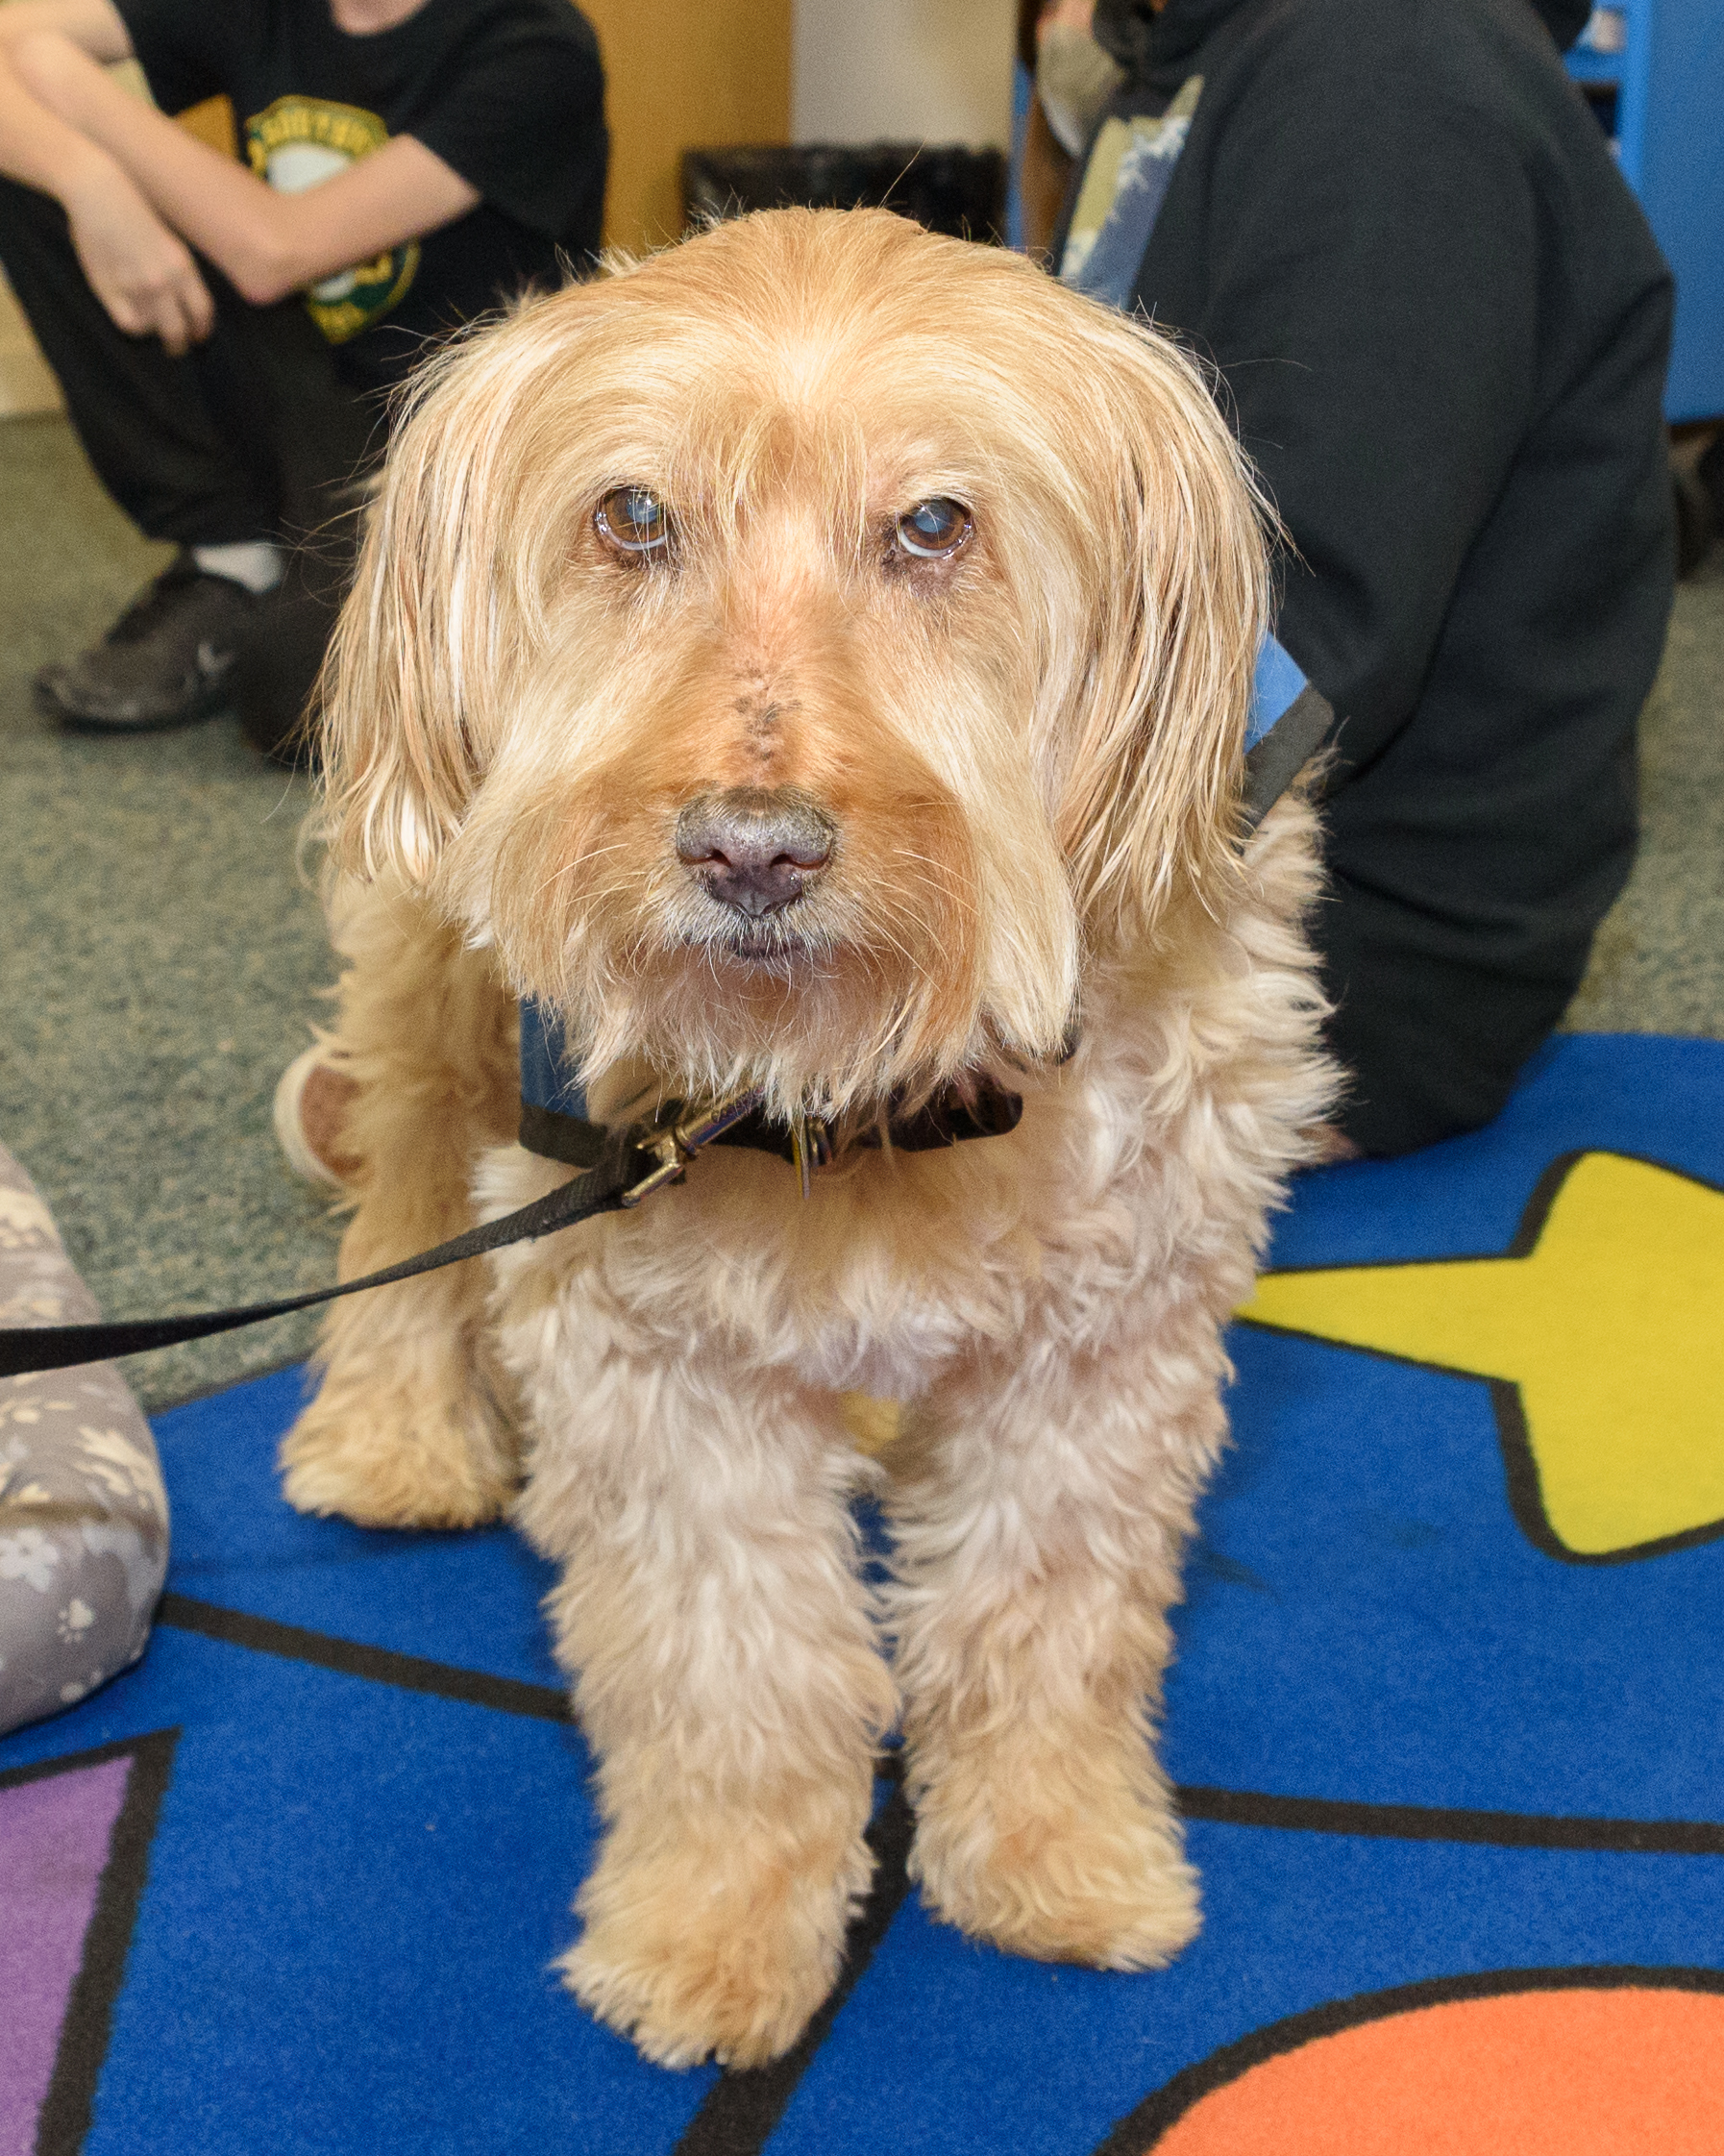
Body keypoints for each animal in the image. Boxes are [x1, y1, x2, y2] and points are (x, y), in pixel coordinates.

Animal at [280, 206, 1336, 2069]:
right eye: (632, 514)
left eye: (933, 522)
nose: (748, 849)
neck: (860, 1085)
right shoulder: (655, 1361)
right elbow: (736, 1677)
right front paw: (716, 1923)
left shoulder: (1100, 1352)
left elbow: (1041, 1625)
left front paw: (1052, 1849)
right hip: (431, 986)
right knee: (401, 1194)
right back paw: (394, 1432)